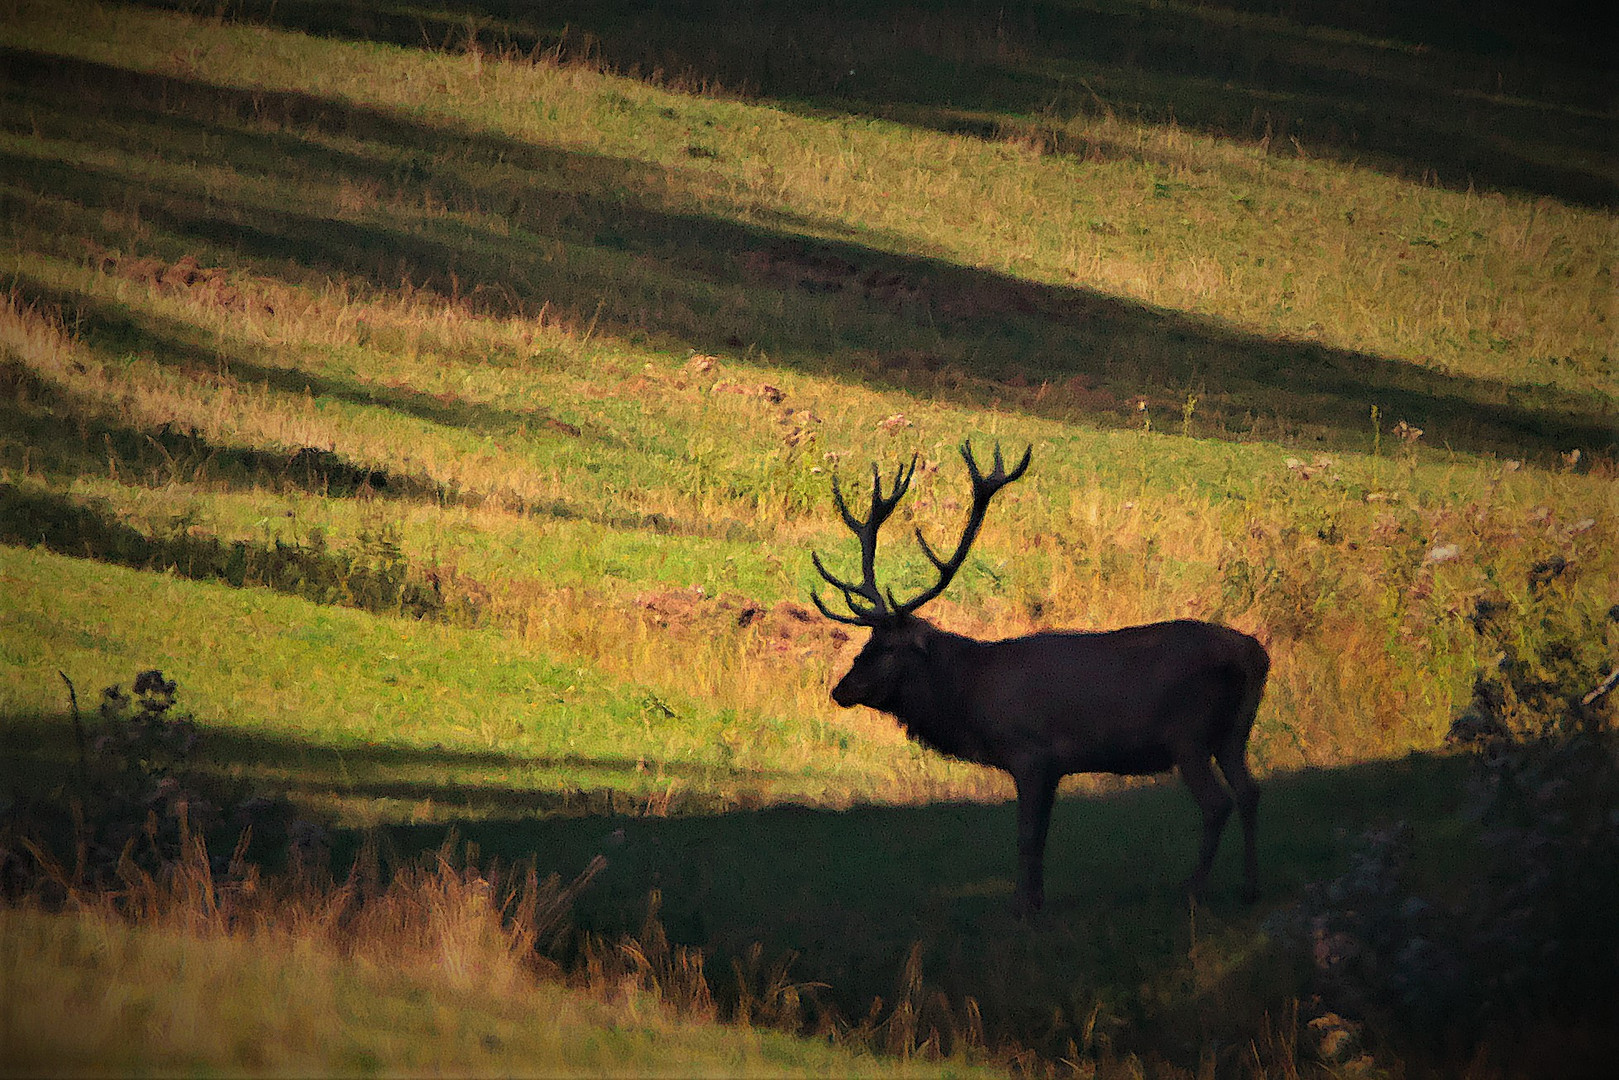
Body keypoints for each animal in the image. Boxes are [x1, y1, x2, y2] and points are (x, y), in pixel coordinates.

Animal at [815, 443, 1269, 919]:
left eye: (886, 647)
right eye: (867, 641)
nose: (841, 689)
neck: (971, 696)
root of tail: (1256, 656)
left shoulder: (1031, 754)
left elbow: (1027, 834)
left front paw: (1022, 907)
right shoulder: (1052, 768)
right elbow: (1042, 837)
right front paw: (1036, 899)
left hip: (1189, 734)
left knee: (1217, 803)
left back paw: (1193, 889)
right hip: (1233, 734)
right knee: (1250, 792)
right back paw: (1250, 887)